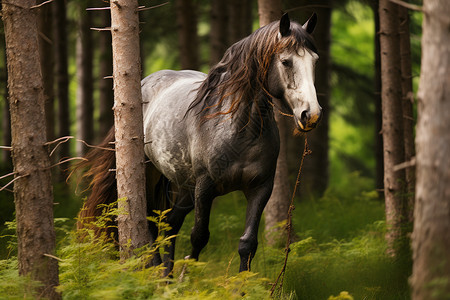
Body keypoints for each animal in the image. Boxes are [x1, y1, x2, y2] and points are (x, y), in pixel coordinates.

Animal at [78, 13, 324, 276]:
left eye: (315, 61)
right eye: (286, 62)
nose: (311, 115)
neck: (239, 129)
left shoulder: (260, 188)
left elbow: (248, 244)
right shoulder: (205, 188)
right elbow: (199, 236)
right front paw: (185, 275)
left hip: (185, 185)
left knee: (171, 224)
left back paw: (166, 276)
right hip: (152, 176)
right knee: (151, 224)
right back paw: (158, 273)